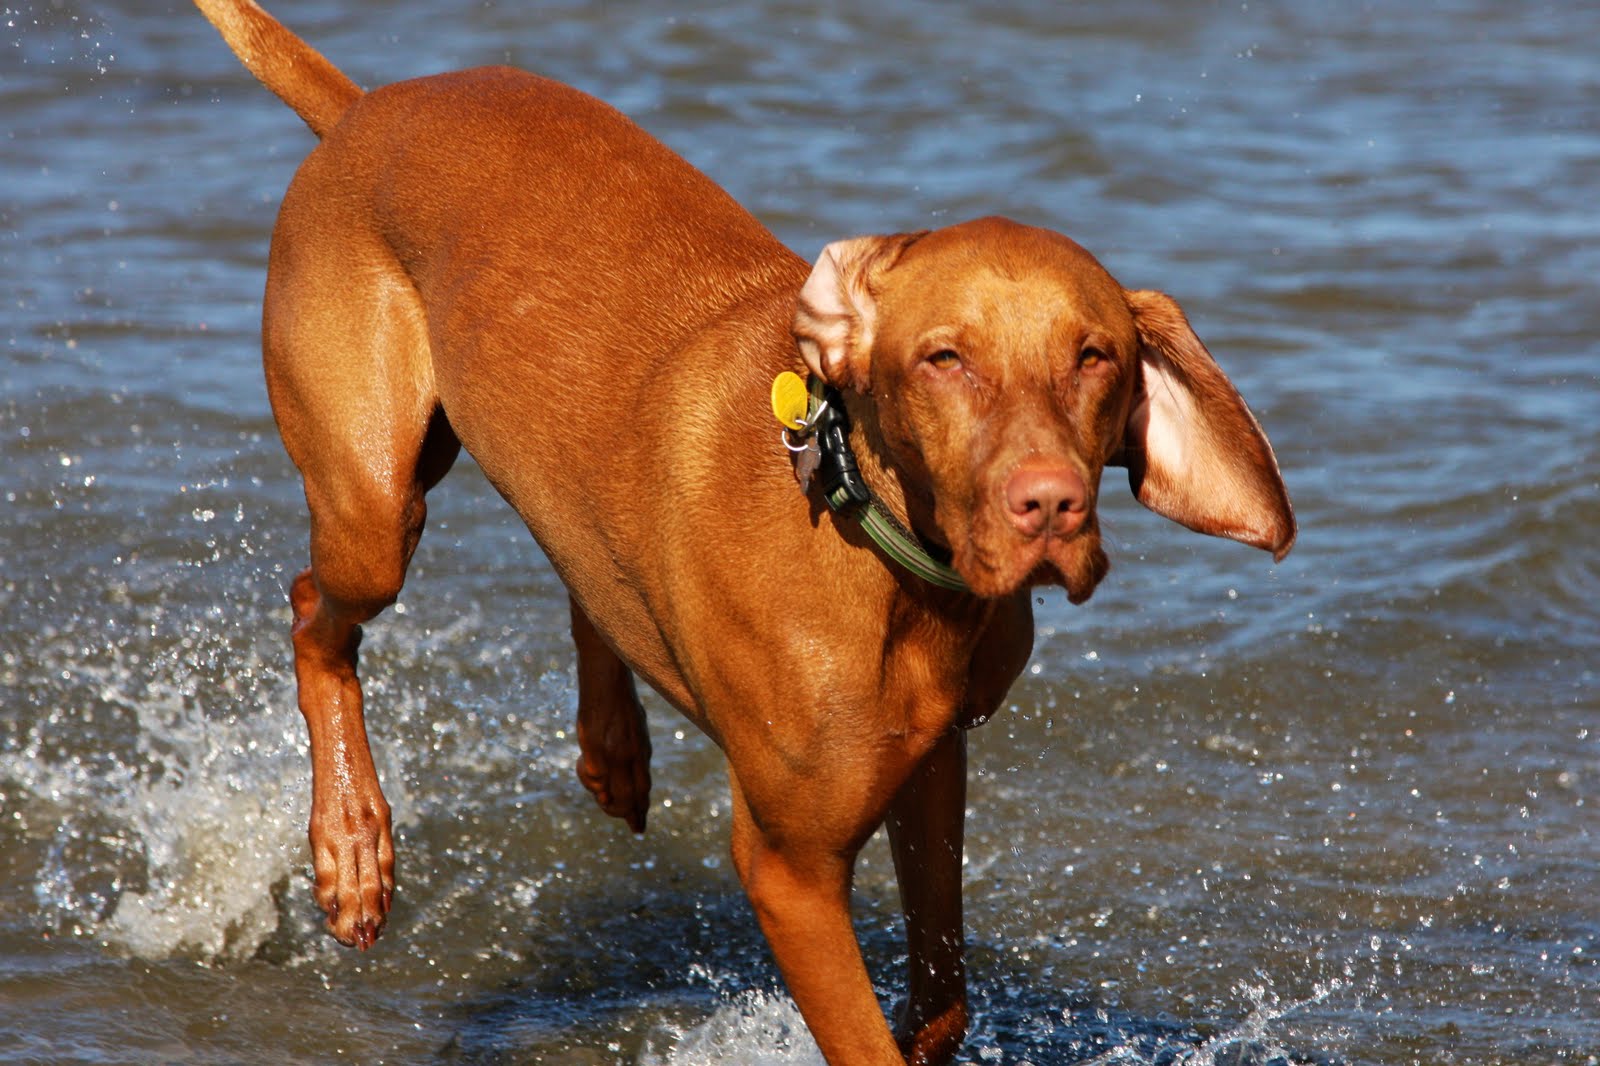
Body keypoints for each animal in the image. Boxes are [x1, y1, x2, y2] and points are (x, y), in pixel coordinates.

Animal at [193, 4, 1292, 1056]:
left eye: (1095, 356)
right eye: (944, 359)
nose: (1052, 503)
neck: (887, 565)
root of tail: (363, 110)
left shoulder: (934, 767)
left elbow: (942, 1003)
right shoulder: (790, 866)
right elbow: (866, 1037)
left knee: (582, 573)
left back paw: (612, 743)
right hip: (373, 505)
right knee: (314, 612)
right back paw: (351, 847)